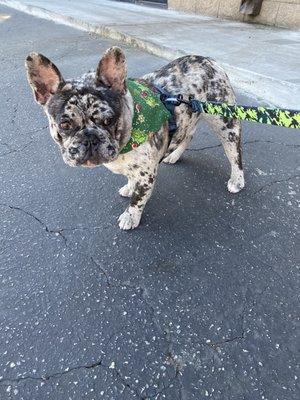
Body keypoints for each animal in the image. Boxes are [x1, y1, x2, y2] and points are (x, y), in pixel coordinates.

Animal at [24, 46, 245, 231]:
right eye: (65, 125)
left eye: (108, 120)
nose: (90, 138)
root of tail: (210, 61)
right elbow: (131, 178)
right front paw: (129, 187)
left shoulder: (146, 174)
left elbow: (139, 199)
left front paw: (130, 216)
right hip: (190, 116)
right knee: (188, 134)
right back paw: (174, 156)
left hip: (225, 122)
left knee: (235, 153)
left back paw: (237, 180)